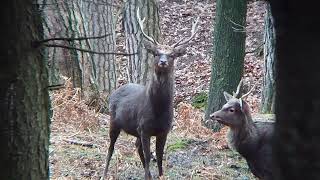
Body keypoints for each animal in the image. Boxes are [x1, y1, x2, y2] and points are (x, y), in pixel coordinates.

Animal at [102, 8, 199, 180]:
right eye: (156, 53)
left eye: (172, 55)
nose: (163, 62)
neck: (158, 109)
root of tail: (115, 91)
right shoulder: (144, 128)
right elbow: (149, 156)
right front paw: (149, 174)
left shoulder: (164, 130)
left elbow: (159, 156)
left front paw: (160, 175)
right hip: (114, 121)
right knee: (111, 147)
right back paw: (104, 173)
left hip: (135, 130)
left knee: (137, 146)